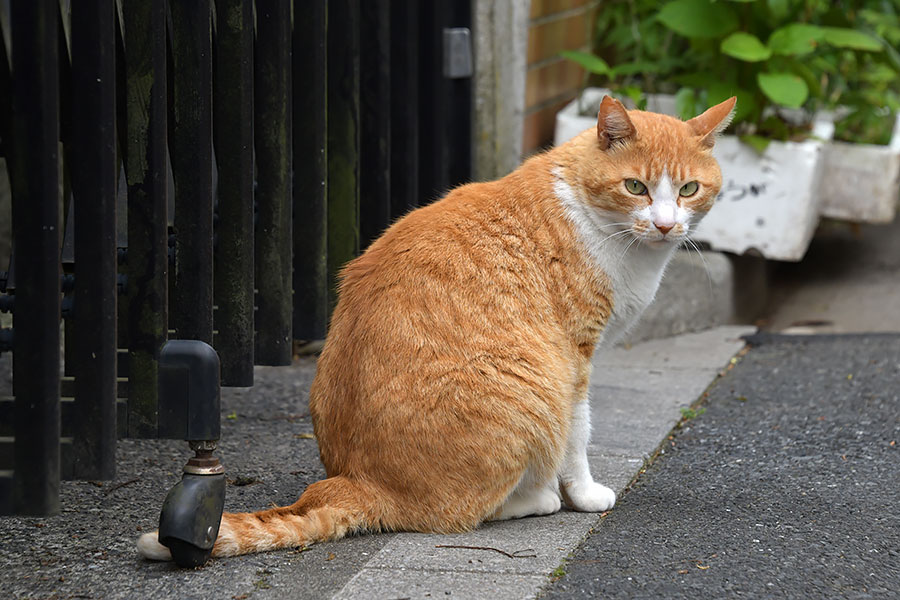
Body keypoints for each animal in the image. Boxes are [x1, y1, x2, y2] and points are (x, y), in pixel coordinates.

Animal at [137, 96, 736, 560]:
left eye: (688, 190)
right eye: (636, 186)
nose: (666, 225)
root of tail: (356, 480)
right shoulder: (575, 357)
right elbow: (579, 433)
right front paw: (584, 494)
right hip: (537, 385)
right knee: (460, 513)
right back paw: (537, 498)